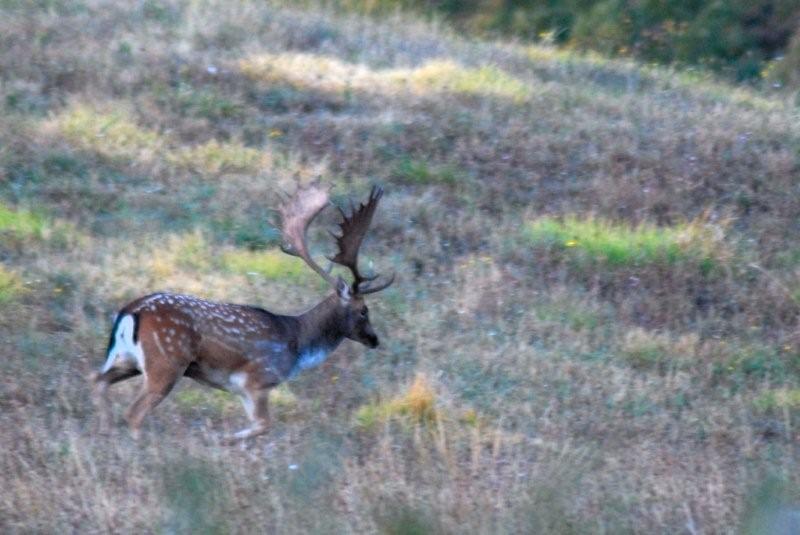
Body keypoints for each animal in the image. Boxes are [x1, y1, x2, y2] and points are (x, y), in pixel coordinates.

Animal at [92, 185, 392, 444]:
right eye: (364, 311)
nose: (375, 339)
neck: (297, 344)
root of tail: (130, 311)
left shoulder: (242, 388)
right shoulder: (258, 379)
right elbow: (264, 425)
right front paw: (224, 440)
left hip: (127, 359)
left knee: (97, 379)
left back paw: (106, 431)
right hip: (166, 362)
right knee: (133, 411)